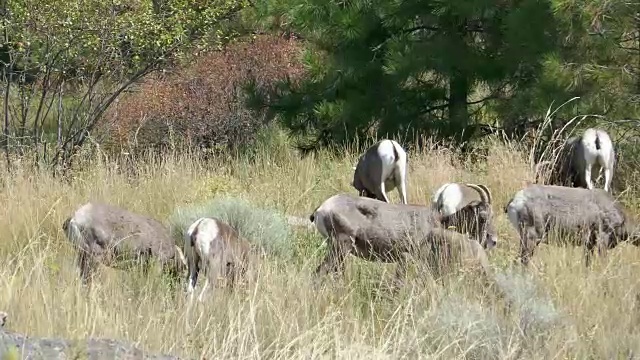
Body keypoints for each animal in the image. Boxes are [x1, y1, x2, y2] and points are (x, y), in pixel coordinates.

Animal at [308, 193, 490, 288]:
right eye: (482, 216)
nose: (491, 240)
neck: (435, 220)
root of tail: (321, 209)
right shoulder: (407, 258)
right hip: (340, 248)